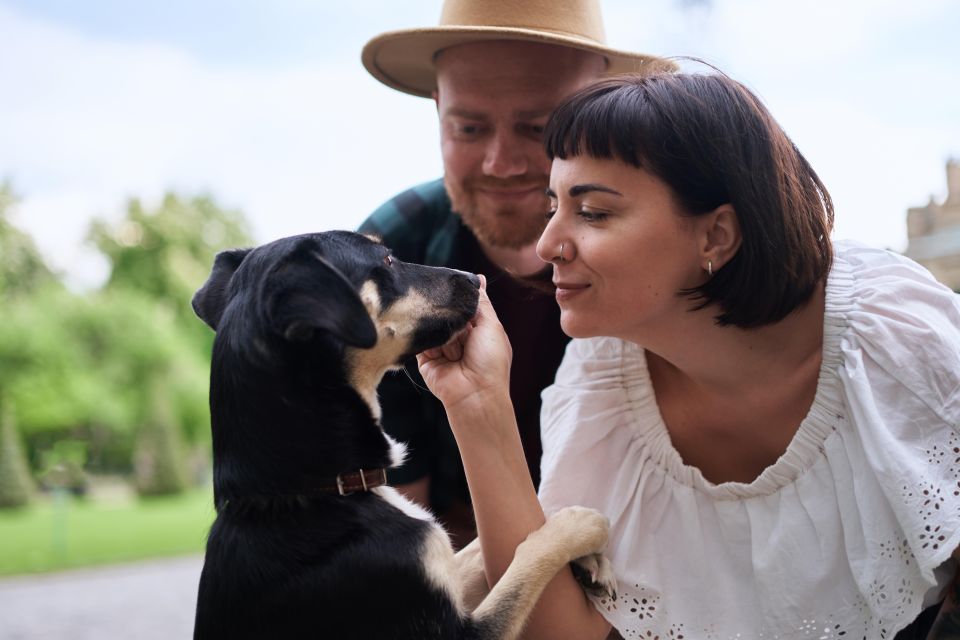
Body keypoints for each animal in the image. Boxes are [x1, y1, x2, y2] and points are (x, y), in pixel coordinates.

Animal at [191, 231, 616, 640]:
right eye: (387, 260)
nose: (473, 278)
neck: (309, 492)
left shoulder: (439, 571)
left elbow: (485, 548)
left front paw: (587, 558)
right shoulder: (456, 628)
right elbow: (526, 563)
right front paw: (579, 526)